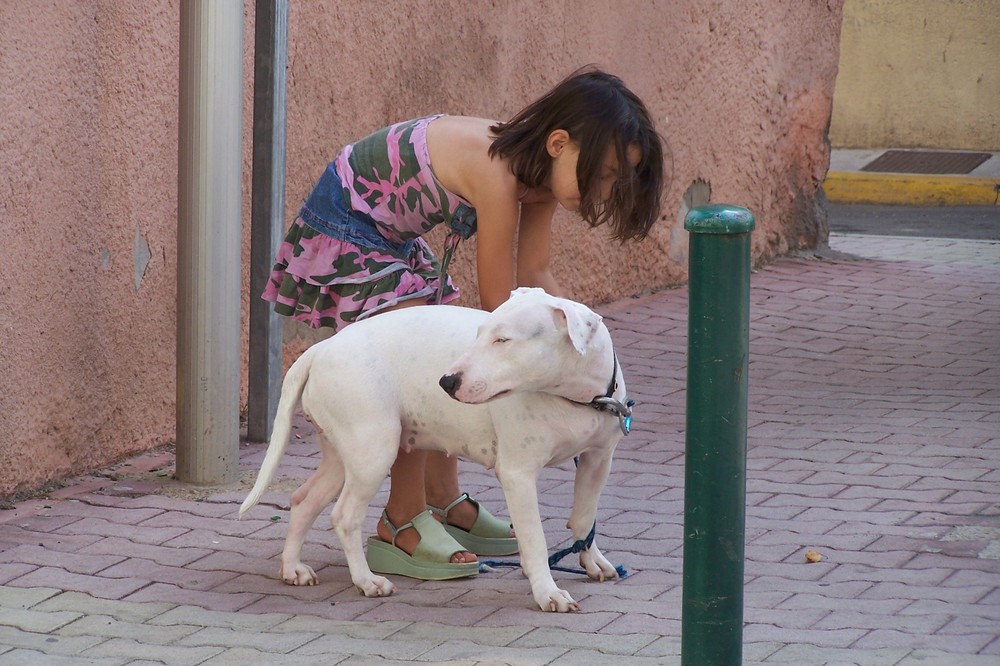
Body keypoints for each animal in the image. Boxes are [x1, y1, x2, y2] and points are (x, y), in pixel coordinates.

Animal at [240, 288, 632, 608]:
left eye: (503, 340)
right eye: (480, 334)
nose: (447, 381)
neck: (578, 397)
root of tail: (320, 348)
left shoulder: (598, 461)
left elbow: (584, 517)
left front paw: (591, 561)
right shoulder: (518, 475)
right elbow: (534, 538)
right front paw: (547, 592)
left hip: (344, 455)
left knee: (303, 500)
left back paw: (292, 568)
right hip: (373, 452)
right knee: (345, 516)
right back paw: (367, 581)